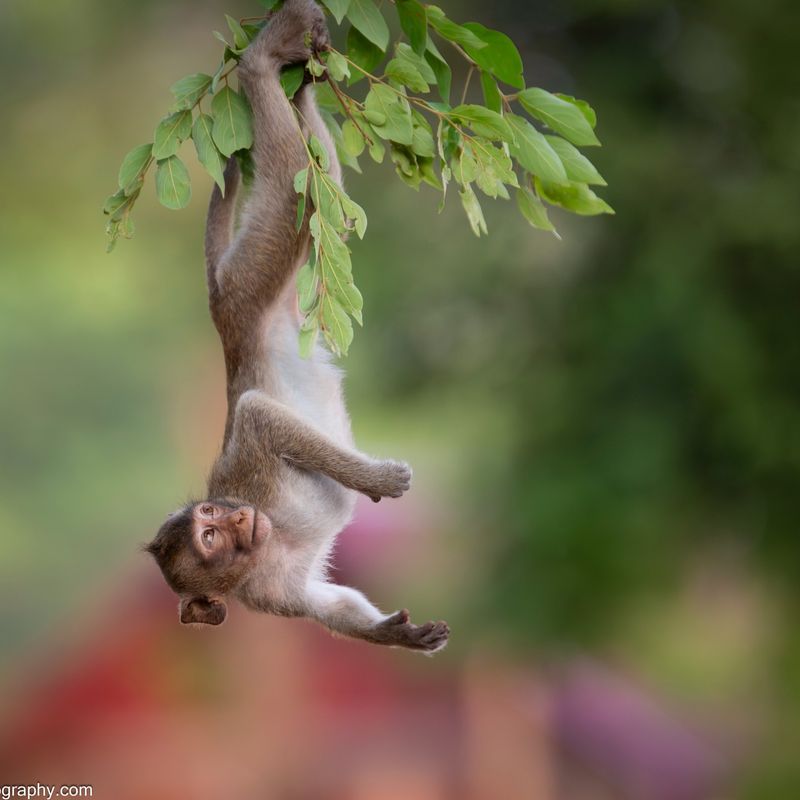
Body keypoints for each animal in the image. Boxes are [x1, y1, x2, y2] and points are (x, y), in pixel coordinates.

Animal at [145, 0, 450, 656]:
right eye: (209, 539)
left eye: (212, 519)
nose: (237, 517)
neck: (263, 548)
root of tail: (221, 308)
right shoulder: (268, 598)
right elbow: (326, 605)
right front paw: (396, 635)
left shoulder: (248, 477)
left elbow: (257, 414)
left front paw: (373, 479)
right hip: (260, 276)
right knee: (311, 176)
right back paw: (286, 72)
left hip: (249, 281)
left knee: (297, 176)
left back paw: (270, 62)